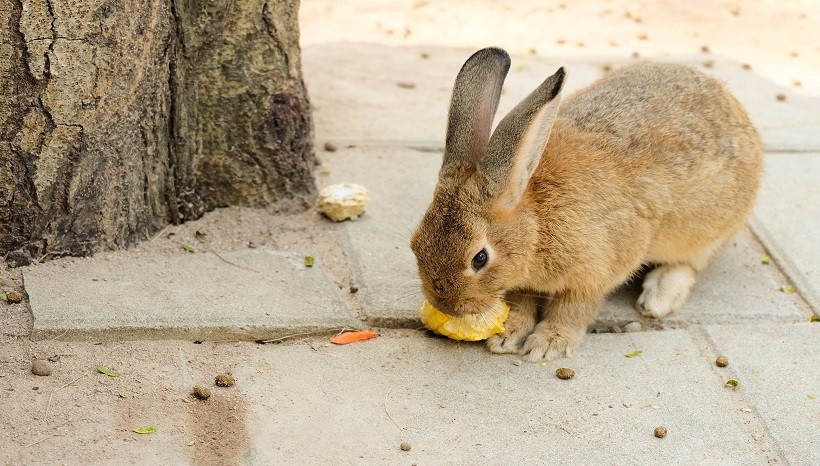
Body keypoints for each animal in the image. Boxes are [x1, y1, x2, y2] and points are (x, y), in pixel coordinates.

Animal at [414, 47, 764, 362]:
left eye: (480, 258)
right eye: (416, 243)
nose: (447, 305)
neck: (536, 226)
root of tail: (732, 103)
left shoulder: (596, 271)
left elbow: (573, 309)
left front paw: (547, 344)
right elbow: (521, 302)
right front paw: (506, 335)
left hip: (710, 231)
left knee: (690, 263)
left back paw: (658, 296)